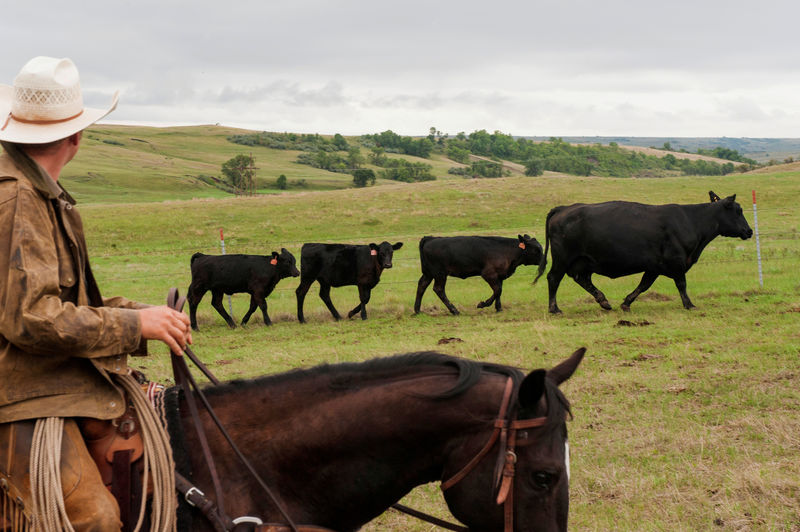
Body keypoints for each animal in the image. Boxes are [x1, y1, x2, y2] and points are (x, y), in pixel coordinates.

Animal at [412, 234, 544, 316]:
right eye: (536, 250)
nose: (545, 261)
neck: (507, 250)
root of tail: (430, 238)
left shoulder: (499, 275)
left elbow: (499, 291)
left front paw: (499, 308)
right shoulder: (488, 274)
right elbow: (498, 290)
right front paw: (483, 304)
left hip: (428, 273)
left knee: (421, 285)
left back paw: (417, 310)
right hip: (440, 273)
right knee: (438, 289)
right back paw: (454, 310)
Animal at [536, 191, 752, 314]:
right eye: (738, 211)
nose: (749, 231)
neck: (692, 221)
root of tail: (564, 208)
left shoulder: (654, 266)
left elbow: (644, 285)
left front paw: (626, 303)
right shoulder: (676, 261)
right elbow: (681, 284)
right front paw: (689, 304)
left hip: (584, 261)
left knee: (583, 279)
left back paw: (604, 301)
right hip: (563, 258)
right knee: (554, 278)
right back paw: (554, 308)